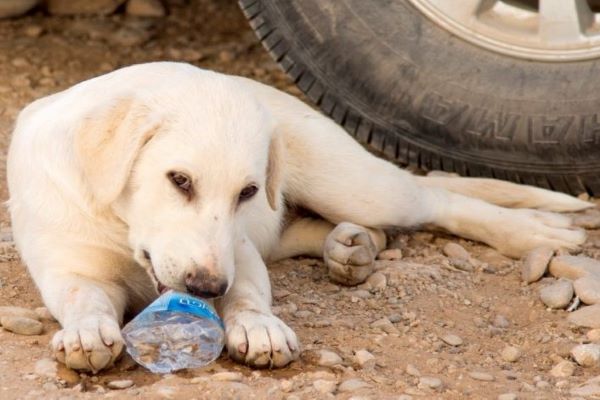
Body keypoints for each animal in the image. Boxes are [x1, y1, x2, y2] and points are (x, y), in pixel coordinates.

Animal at [7, 61, 592, 372]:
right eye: (179, 180)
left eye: (245, 192)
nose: (206, 287)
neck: (123, 226)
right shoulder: (69, 269)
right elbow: (83, 299)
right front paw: (86, 333)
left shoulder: (239, 254)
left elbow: (247, 294)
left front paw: (258, 328)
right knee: (343, 229)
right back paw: (352, 250)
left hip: (355, 186)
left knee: (436, 197)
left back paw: (532, 230)